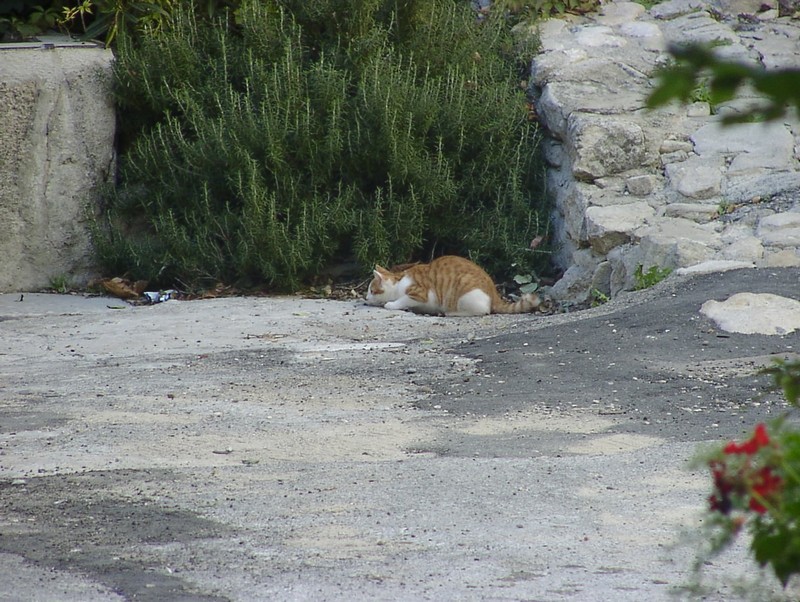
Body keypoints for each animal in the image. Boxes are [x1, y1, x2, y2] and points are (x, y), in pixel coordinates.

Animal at [364, 254, 544, 316]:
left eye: (371, 290)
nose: (365, 298)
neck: (399, 281)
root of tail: (495, 295)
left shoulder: (421, 294)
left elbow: (403, 300)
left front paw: (391, 304)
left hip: (464, 294)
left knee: (483, 311)